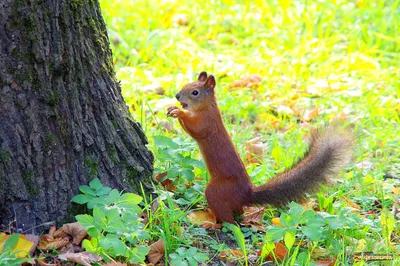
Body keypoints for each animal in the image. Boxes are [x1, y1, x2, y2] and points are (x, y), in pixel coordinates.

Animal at [166, 71, 354, 223]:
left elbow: (196, 130)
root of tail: (246, 195)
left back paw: (213, 223)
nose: (177, 96)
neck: (207, 107)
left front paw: (179, 112)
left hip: (215, 192)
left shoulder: (207, 123)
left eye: (195, 92)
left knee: (230, 221)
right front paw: (172, 108)